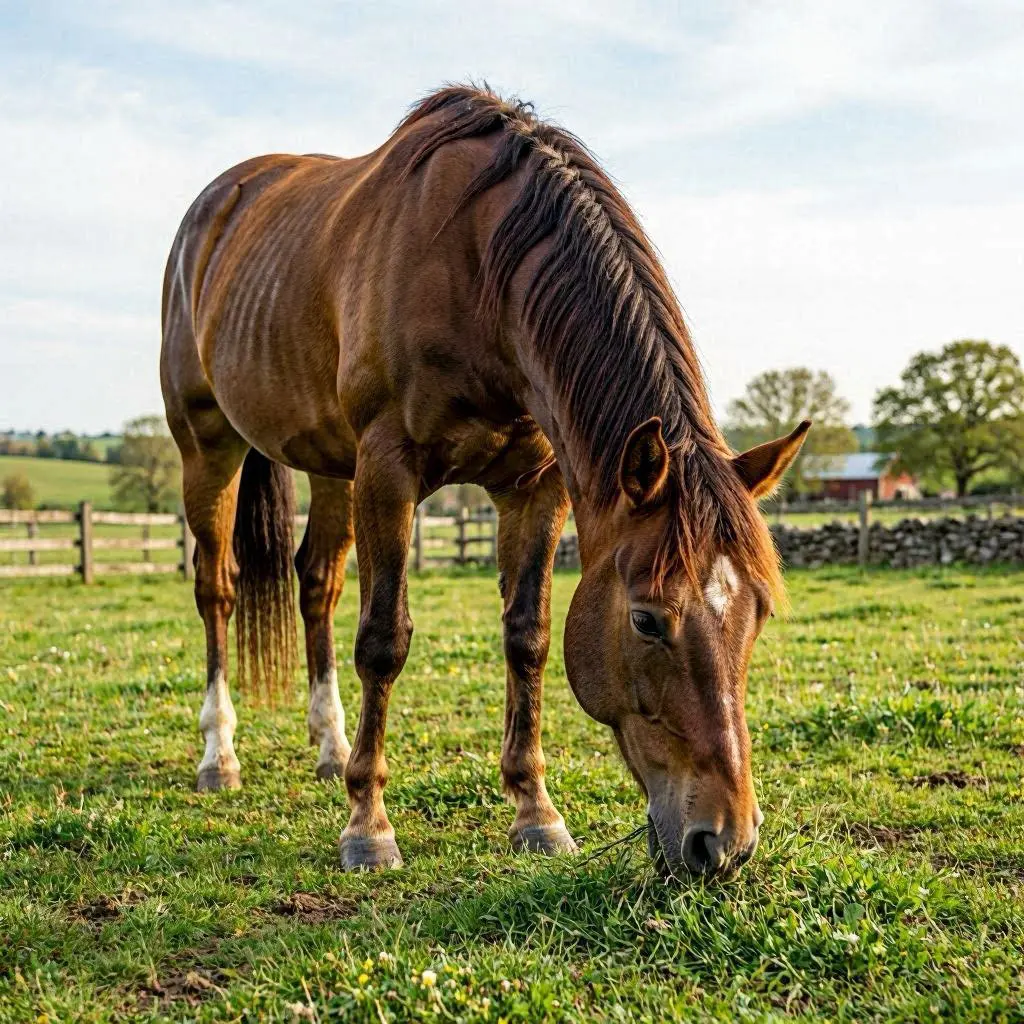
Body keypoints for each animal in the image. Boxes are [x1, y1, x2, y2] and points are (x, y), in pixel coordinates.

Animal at [161, 85, 809, 877]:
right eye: (647, 620)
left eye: (759, 614)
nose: (725, 843)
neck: (477, 275)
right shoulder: (388, 468)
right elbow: (384, 639)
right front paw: (367, 824)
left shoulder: (536, 486)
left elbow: (526, 637)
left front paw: (536, 811)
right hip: (208, 446)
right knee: (217, 589)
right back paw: (219, 754)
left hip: (330, 465)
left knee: (316, 584)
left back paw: (330, 747)